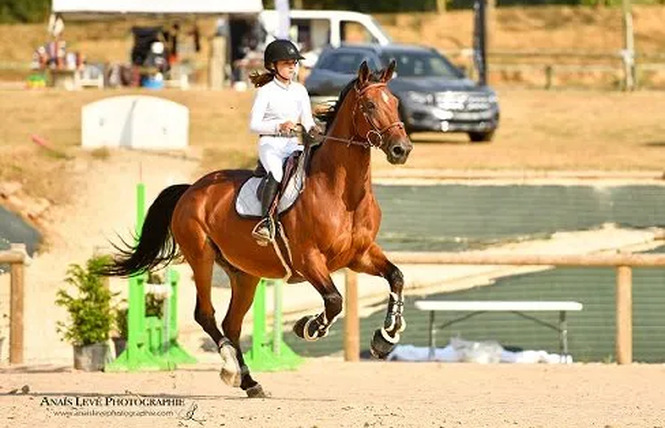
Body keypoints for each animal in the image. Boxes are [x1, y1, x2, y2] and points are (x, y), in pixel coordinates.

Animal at [101, 61, 412, 398]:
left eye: (395, 103)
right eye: (369, 106)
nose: (401, 149)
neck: (342, 193)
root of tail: (191, 189)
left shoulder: (360, 255)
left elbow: (396, 277)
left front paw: (386, 338)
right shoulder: (309, 260)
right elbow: (334, 300)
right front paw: (308, 326)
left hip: (245, 274)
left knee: (232, 324)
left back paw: (250, 382)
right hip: (201, 257)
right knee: (206, 315)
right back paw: (230, 368)